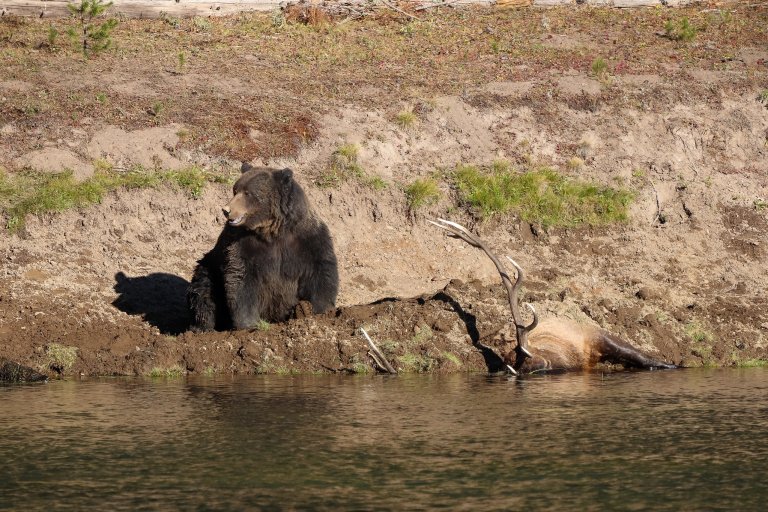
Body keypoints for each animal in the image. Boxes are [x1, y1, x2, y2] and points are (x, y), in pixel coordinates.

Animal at [187, 164, 339, 332]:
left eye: (248, 192)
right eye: (235, 190)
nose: (226, 210)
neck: (273, 230)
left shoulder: (307, 239)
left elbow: (321, 271)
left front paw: (319, 311)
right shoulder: (242, 243)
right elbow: (241, 277)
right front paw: (249, 324)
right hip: (211, 269)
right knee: (203, 290)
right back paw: (202, 328)